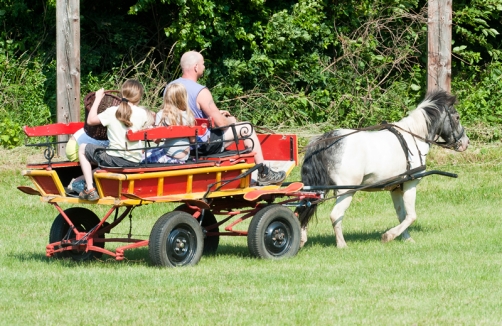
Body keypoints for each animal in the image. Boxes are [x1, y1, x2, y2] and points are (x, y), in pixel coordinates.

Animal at [296, 90, 468, 248]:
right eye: (457, 117)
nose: (466, 143)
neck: (413, 138)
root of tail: (325, 139)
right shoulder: (410, 184)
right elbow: (411, 216)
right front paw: (389, 236)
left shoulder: (396, 188)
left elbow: (402, 215)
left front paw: (406, 238)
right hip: (346, 191)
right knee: (335, 215)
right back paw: (341, 245)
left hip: (319, 189)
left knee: (304, 207)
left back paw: (301, 240)